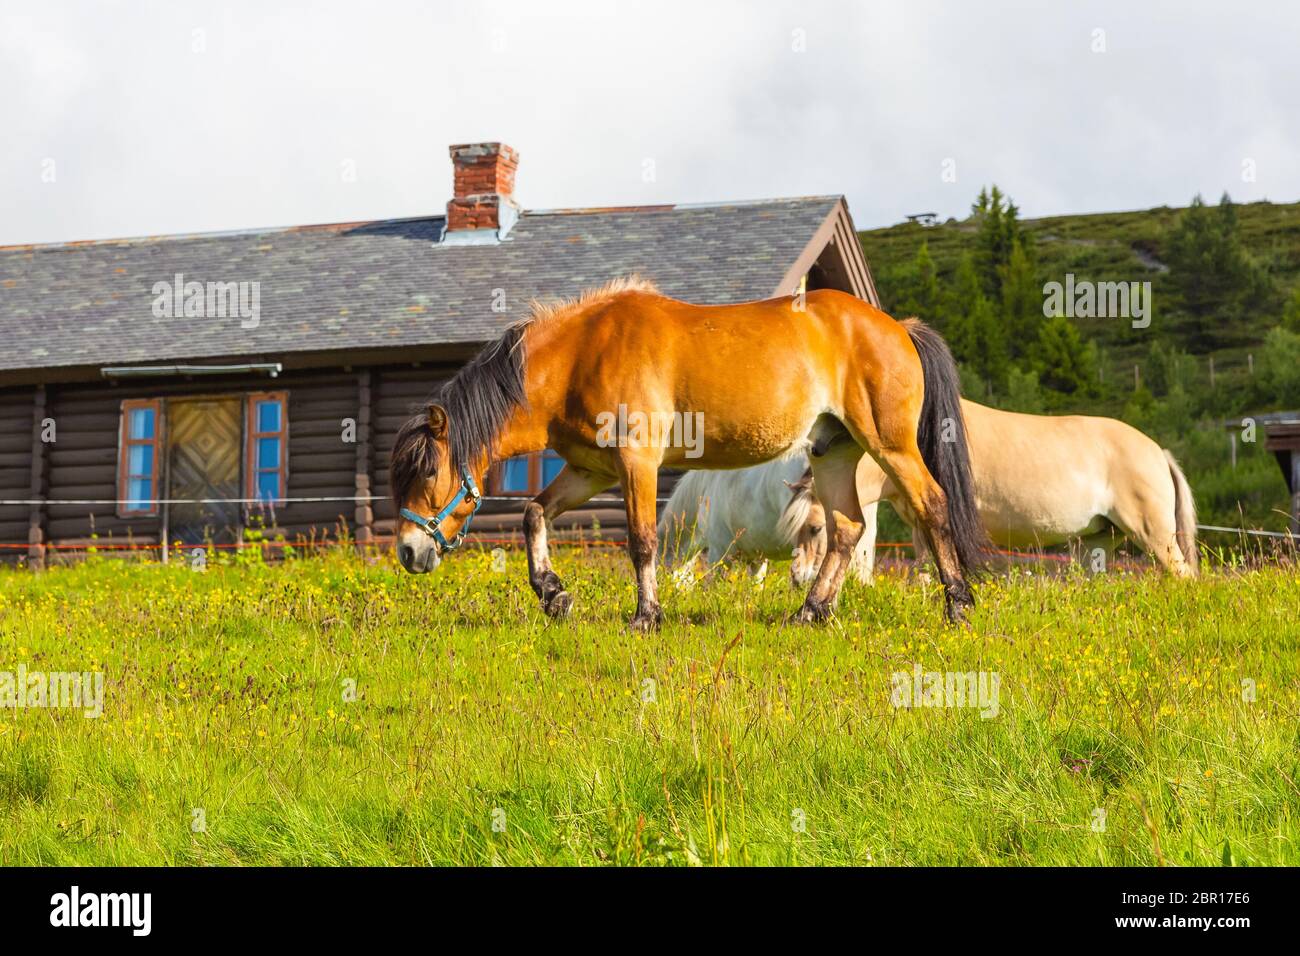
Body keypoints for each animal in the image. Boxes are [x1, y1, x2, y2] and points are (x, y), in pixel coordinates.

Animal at [390, 277, 977, 629]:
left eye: (429, 474)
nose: (408, 554)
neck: (581, 355)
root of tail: (898, 327)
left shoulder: (637, 465)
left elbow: (641, 541)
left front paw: (646, 616)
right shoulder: (589, 470)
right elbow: (534, 512)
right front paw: (552, 593)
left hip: (890, 445)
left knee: (932, 503)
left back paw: (958, 604)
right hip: (831, 452)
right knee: (848, 527)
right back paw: (810, 612)